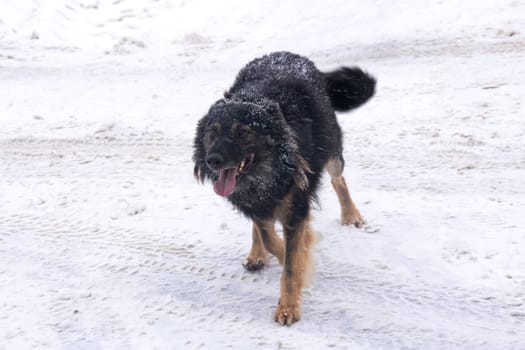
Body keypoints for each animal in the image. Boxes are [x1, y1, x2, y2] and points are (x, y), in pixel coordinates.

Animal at [192, 52, 376, 326]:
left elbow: (291, 262)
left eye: (243, 133)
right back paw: (256, 254)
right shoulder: (255, 199)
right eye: (212, 133)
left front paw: (289, 306)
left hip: (331, 151)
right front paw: (289, 256)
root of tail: (288, 55)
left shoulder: (295, 204)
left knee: (338, 180)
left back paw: (351, 215)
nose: (212, 160)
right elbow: (270, 238)